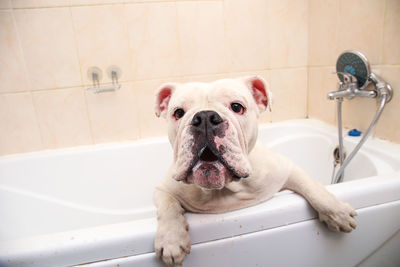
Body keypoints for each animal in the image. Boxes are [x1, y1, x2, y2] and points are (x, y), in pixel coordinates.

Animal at [152, 76, 356, 266]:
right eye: (178, 112)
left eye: (237, 107)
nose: (205, 117)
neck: (223, 190)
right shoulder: (163, 189)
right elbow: (169, 207)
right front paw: (171, 240)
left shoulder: (287, 169)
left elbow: (314, 188)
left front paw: (337, 213)